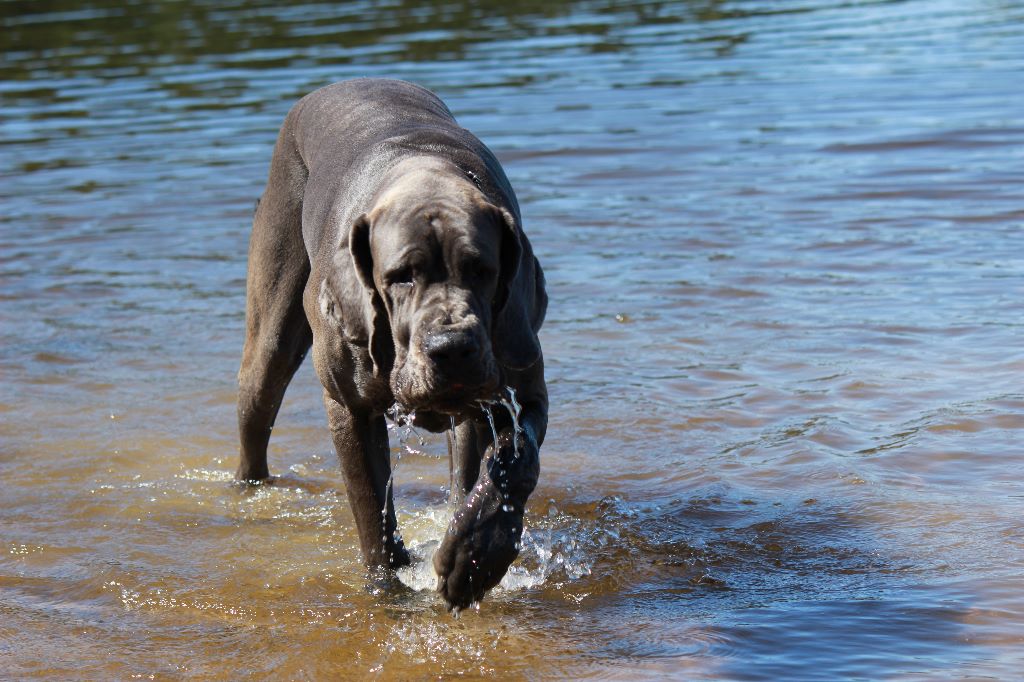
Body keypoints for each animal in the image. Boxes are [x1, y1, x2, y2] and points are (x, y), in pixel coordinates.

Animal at [236, 76, 548, 606]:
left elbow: (513, 463)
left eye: (482, 270)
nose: (451, 347)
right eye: (400, 276)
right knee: (255, 415)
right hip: (271, 334)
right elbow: (372, 515)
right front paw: (389, 591)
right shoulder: (349, 407)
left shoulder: (522, 385)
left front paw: (474, 555)